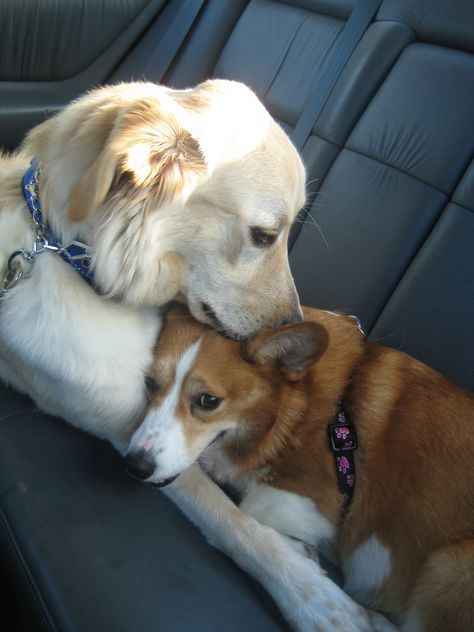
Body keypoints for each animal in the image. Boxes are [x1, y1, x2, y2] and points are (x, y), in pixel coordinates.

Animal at [127, 304, 474, 628]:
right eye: (150, 383)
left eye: (208, 401)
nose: (135, 466)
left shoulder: (311, 501)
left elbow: (251, 507)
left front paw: (297, 551)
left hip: (451, 566)